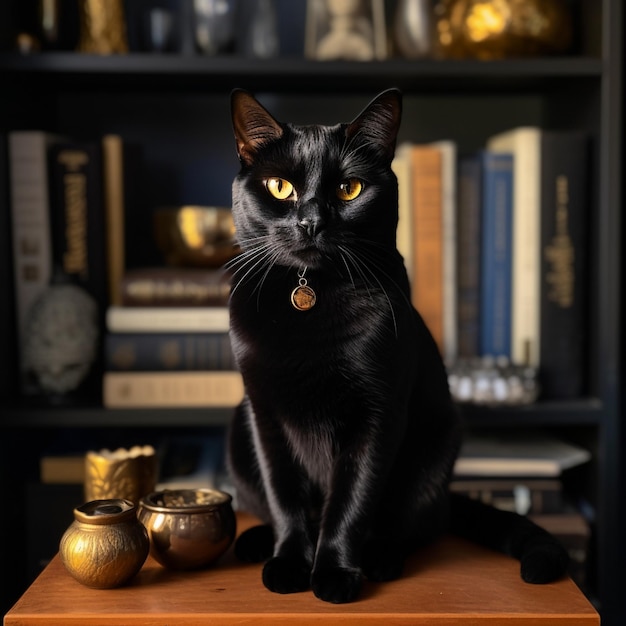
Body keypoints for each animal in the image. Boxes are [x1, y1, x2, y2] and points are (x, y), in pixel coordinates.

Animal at [224, 88, 564, 600]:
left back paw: (381, 559)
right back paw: (255, 543)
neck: (311, 297)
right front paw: (288, 563)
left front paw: (334, 574)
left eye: (349, 189)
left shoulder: (378, 413)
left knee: (411, 525)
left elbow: (351, 500)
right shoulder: (265, 415)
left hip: (437, 444)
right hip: (237, 431)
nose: (310, 222)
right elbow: (285, 496)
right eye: (280, 187)